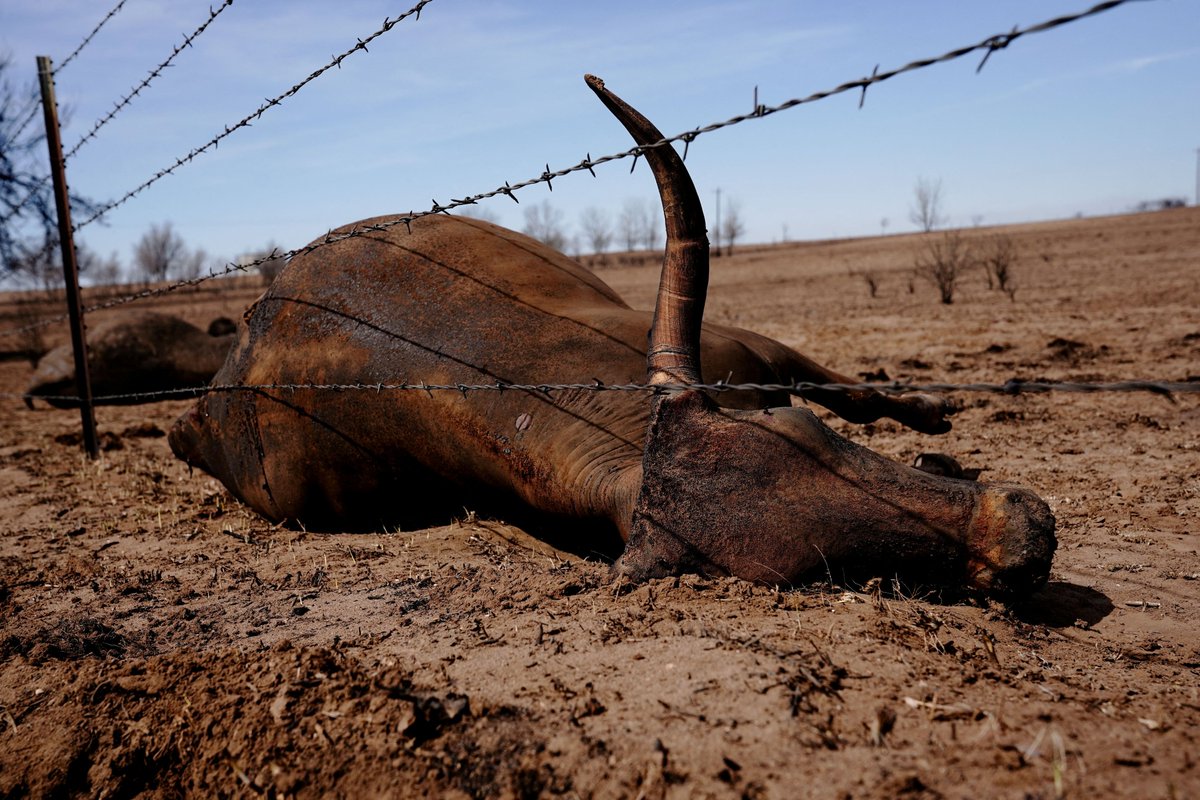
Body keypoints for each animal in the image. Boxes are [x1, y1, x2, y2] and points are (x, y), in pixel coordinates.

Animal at [166, 76, 1051, 594]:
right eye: (815, 571)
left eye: (798, 429)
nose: (1022, 535)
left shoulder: (752, 352)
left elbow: (851, 392)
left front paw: (933, 426)